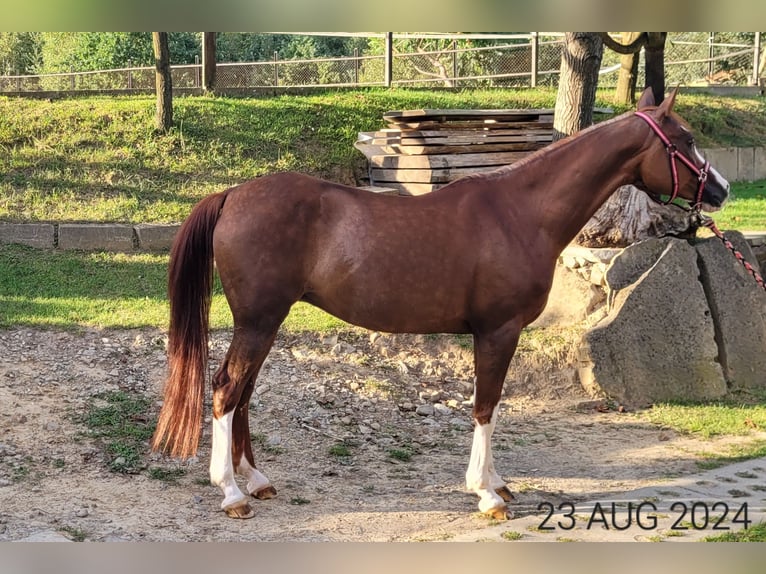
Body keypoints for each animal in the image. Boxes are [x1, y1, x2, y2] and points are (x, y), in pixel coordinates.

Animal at [152, 88, 730, 520]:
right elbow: (486, 406)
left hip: (266, 321)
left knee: (244, 392)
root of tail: (232, 195)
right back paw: (231, 492)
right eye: (686, 140)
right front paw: (486, 494)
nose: (721, 189)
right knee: (227, 389)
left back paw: (256, 479)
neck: (521, 213)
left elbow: (490, 405)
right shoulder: (498, 331)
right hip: (259, 320)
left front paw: (498, 482)